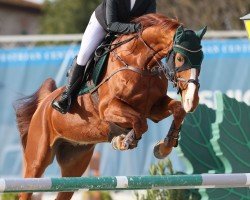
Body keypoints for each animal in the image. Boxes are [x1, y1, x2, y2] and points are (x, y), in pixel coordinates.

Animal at [14, 13, 205, 199]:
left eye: (201, 58)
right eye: (180, 58)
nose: (192, 101)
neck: (140, 64)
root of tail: (44, 103)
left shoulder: (154, 109)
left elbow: (177, 110)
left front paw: (164, 147)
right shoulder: (108, 109)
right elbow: (140, 122)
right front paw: (124, 141)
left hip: (74, 164)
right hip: (37, 160)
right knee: (27, 187)